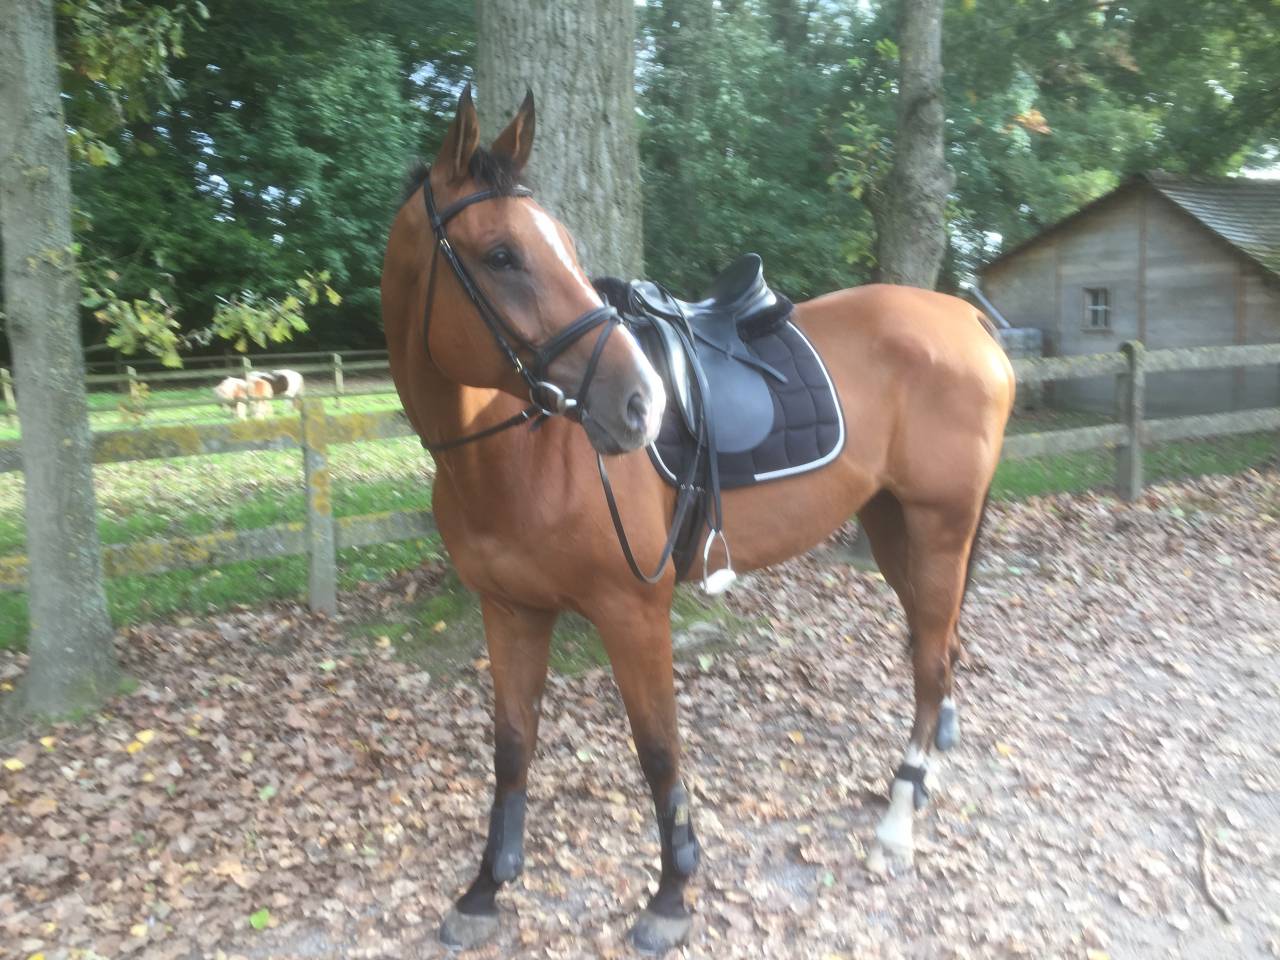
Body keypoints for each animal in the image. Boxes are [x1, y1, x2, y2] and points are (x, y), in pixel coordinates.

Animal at [382, 86, 1014, 955]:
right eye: (501, 254)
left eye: (562, 247)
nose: (639, 404)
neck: (519, 452)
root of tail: (967, 320)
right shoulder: (509, 610)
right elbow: (512, 747)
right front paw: (485, 890)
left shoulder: (632, 611)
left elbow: (658, 751)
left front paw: (672, 893)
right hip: (895, 526)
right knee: (938, 646)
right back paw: (920, 786)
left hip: (941, 524)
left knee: (928, 664)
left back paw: (897, 821)